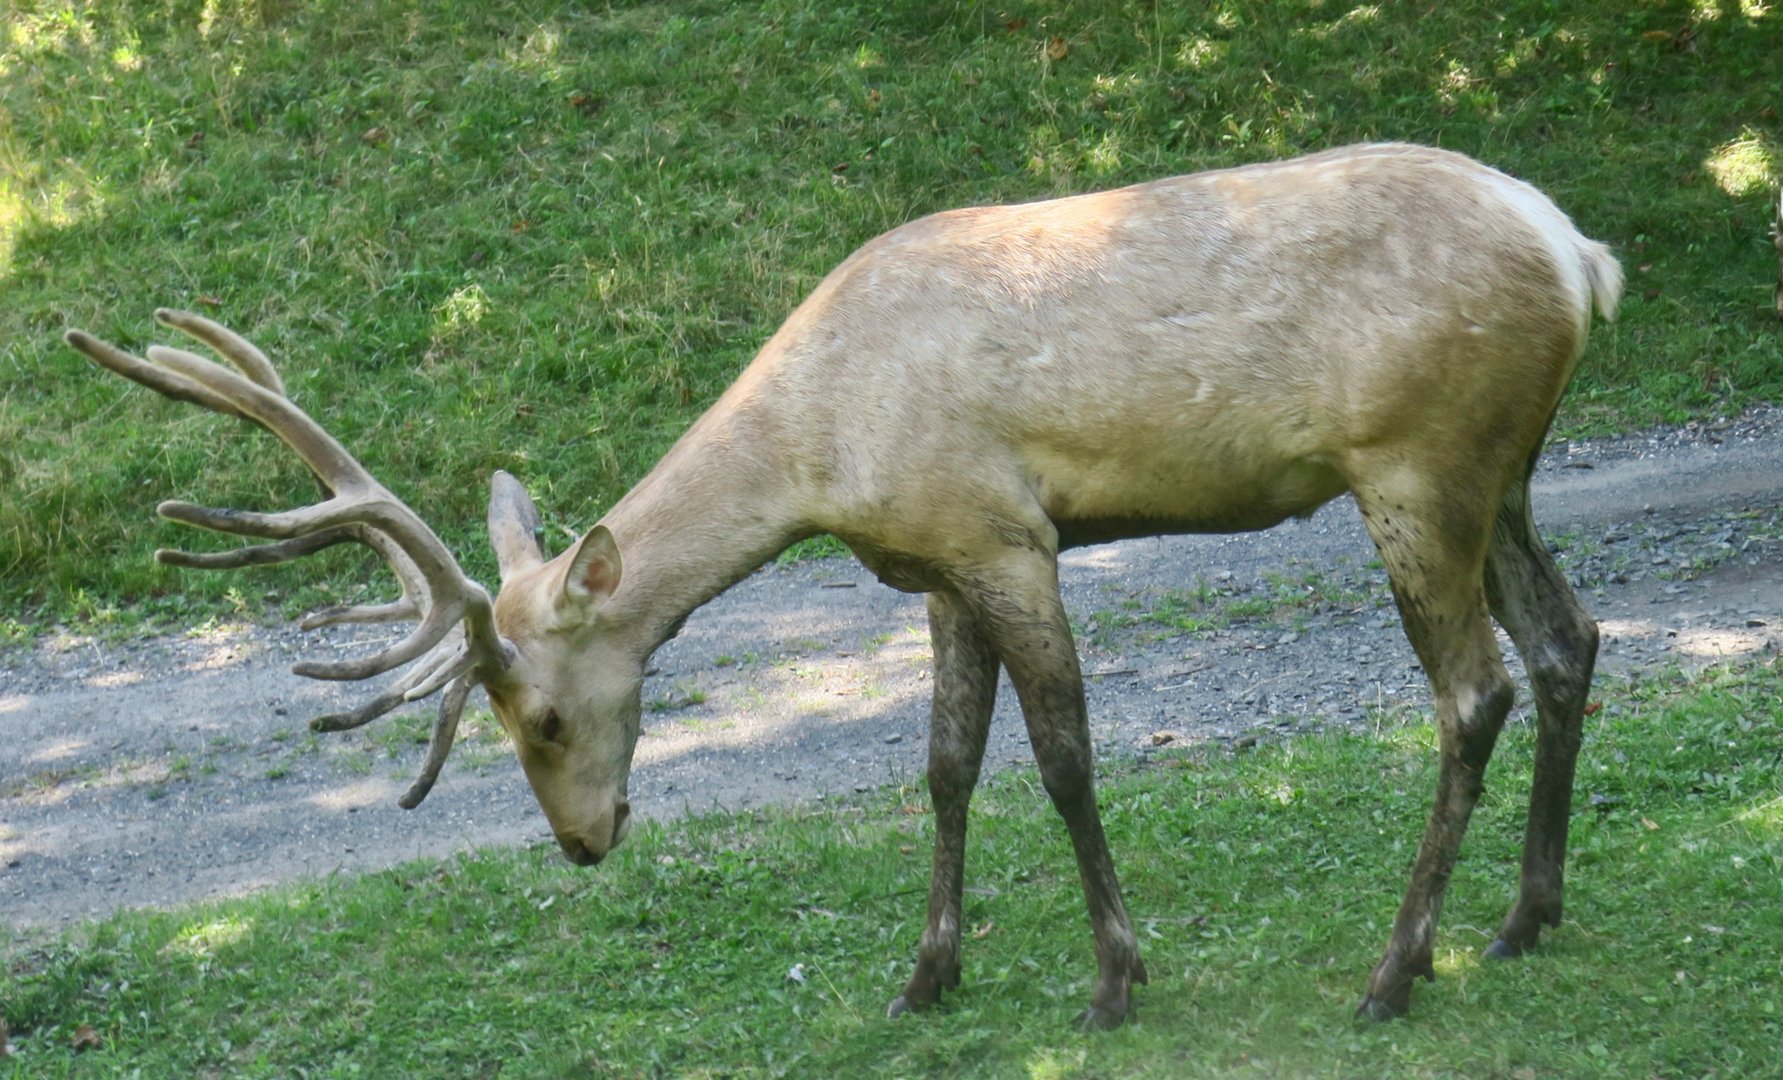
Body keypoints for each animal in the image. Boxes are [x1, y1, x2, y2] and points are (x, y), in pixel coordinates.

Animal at [68, 142, 1620, 1027]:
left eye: (545, 716)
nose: (582, 843)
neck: (821, 451)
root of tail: (1581, 252)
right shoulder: (932, 561)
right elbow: (942, 766)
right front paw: (927, 976)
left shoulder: (1002, 530)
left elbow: (1063, 757)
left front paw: (1114, 979)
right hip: (1501, 465)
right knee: (1571, 640)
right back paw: (1523, 919)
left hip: (1413, 458)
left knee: (1471, 690)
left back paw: (1395, 972)